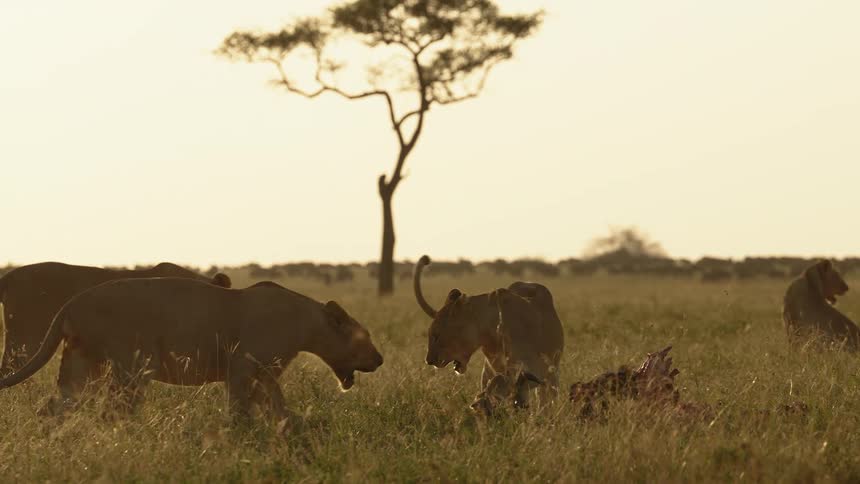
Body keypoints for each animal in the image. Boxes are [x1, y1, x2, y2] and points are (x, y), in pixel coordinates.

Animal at [0, 278, 383, 424]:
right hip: (131, 367)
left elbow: (275, 403)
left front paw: (287, 427)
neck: (306, 323)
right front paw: (241, 434)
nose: (380, 359)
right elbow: (240, 406)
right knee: (113, 411)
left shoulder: (265, 371)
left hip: (83, 363)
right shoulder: (241, 366)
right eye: (364, 339)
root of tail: (73, 302)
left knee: (55, 406)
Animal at [414, 255, 564, 413]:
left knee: (547, 396)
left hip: (552, 372)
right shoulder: (489, 369)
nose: (429, 361)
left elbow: (503, 381)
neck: (490, 333)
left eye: (436, 335)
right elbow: (494, 383)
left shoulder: (530, 367)